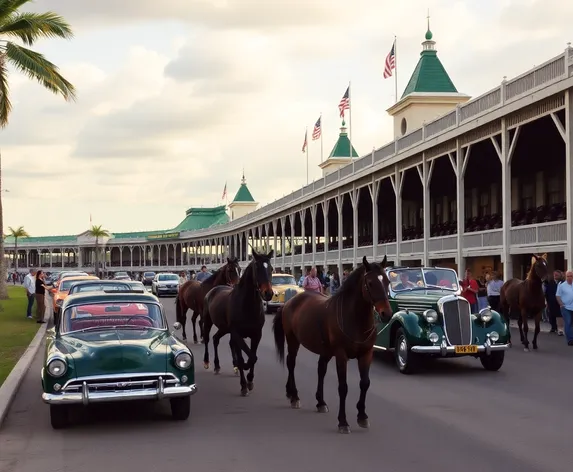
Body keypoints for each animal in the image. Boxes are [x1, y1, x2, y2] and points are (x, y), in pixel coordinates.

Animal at [202, 249, 274, 396]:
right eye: (257, 267)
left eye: (271, 268)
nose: (268, 293)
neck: (247, 305)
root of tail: (213, 290)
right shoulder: (237, 333)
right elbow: (244, 358)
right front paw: (244, 385)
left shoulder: (256, 334)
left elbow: (253, 356)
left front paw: (250, 380)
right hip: (208, 322)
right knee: (207, 338)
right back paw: (207, 362)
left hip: (224, 328)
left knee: (216, 338)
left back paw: (218, 365)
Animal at [270, 256, 392, 434]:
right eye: (370, 283)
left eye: (388, 281)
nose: (386, 313)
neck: (354, 319)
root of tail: (289, 302)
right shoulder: (341, 355)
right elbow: (343, 387)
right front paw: (343, 422)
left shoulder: (366, 354)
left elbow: (365, 383)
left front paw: (362, 416)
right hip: (293, 340)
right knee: (291, 363)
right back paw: (294, 396)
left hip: (325, 350)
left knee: (320, 369)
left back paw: (319, 402)